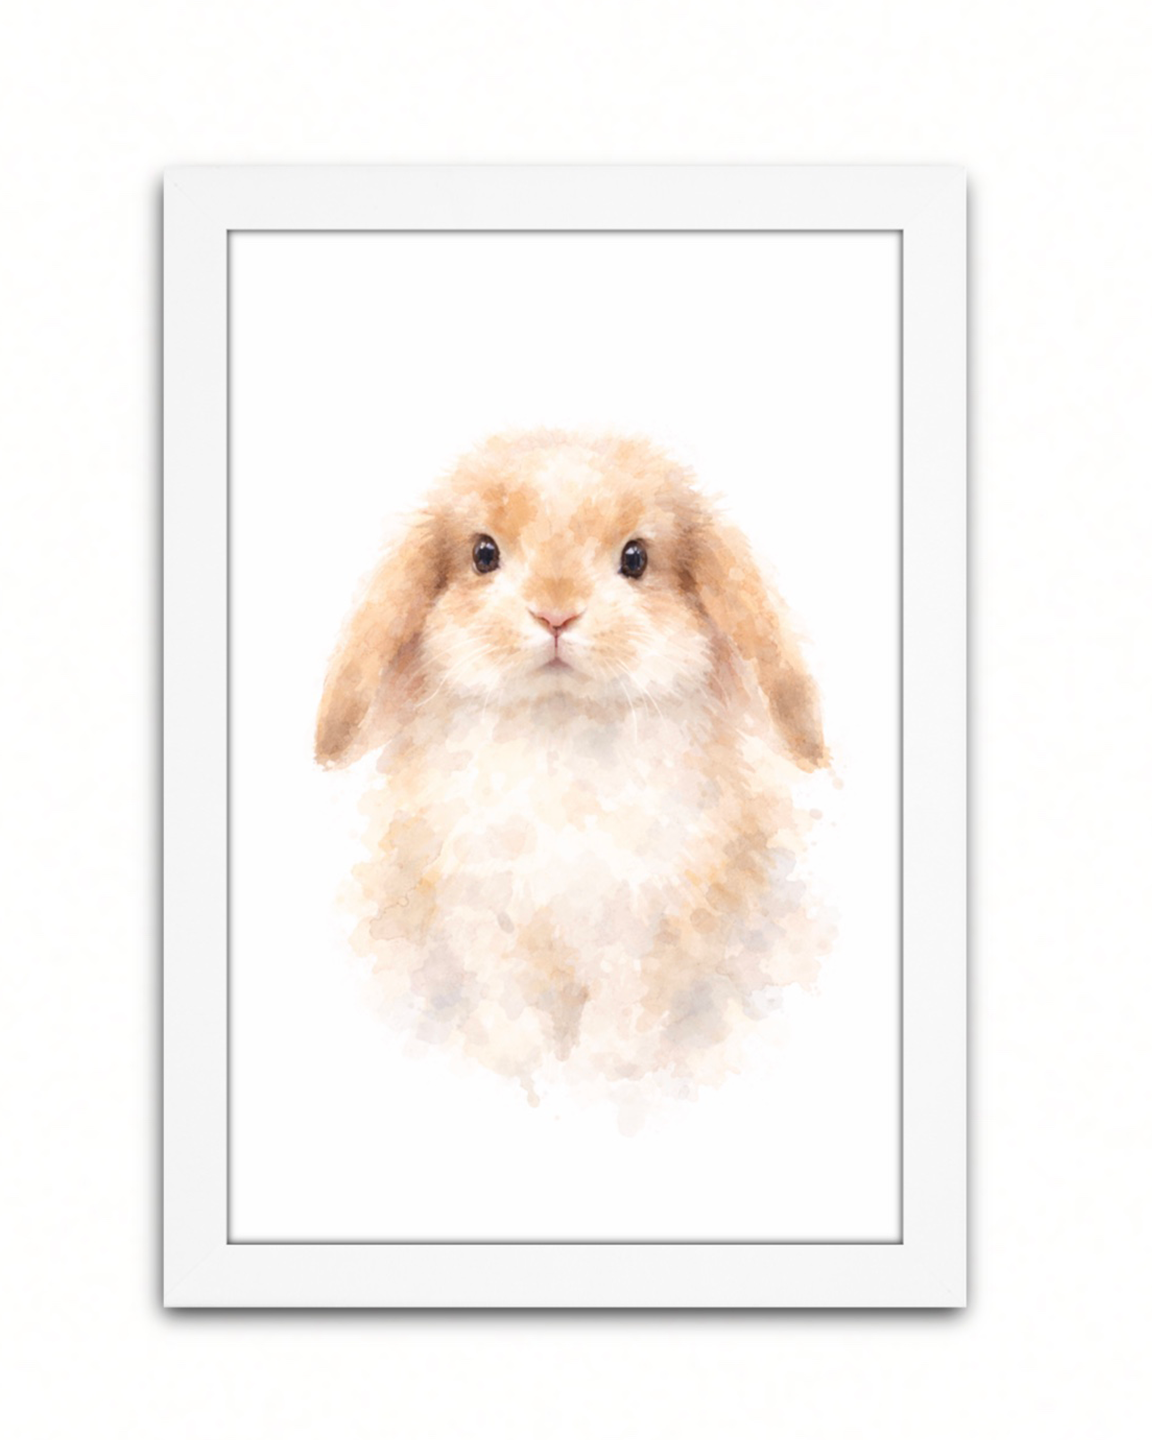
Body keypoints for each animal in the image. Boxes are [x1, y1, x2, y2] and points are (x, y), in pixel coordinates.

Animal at [316, 429, 832, 1117]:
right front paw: (533, 1081)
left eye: (635, 558)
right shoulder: (482, 928)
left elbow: (620, 1028)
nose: (555, 614)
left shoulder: (650, 937)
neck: (561, 728)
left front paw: (598, 1087)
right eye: (483, 554)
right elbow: (512, 1021)